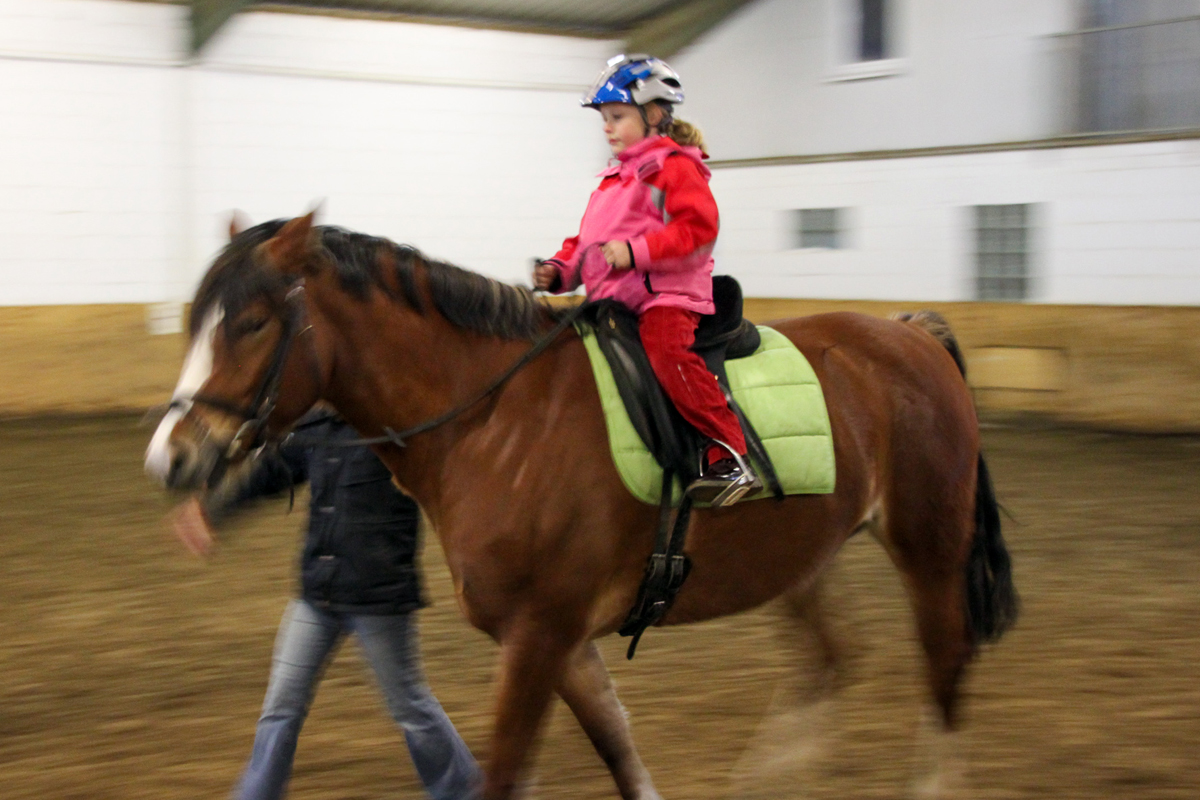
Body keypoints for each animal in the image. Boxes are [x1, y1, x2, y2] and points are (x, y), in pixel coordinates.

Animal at [145, 214, 1017, 800]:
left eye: (252, 322)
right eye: (192, 321)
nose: (172, 457)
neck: (495, 417)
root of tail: (911, 334)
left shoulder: (540, 634)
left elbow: (506, 774)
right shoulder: (560, 641)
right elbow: (620, 753)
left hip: (929, 551)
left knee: (943, 673)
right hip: (803, 560)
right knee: (832, 658)